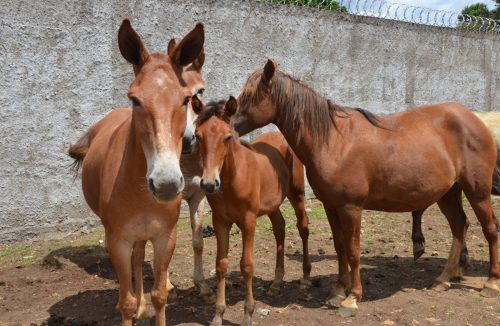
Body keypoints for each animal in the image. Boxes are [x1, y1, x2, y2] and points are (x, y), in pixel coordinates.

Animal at [68, 19, 205, 324]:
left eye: (185, 99)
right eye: (135, 100)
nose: (166, 184)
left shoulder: (165, 237)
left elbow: (160, 295)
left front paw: (151, 302)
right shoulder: (118, 240)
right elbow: (127, 301)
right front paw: (133, 306)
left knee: (140, 256)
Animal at [193, 95, 310, 324]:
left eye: (228, 137)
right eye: (198, 136)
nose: (209, 184)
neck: (232, 179)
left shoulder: (248, 220)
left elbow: (246, 266)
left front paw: (248, 314)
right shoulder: (220, 221)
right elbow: (221, 265)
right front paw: (218, 314)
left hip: (297, 194)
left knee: (303, 227)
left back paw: (306, 278)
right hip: (272, 204)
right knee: (280, 228)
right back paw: (276, 283)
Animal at [233, 58, 500, 316]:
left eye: (250, 95)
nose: (231, 127)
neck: (334, 141)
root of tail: (475, 120)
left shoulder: (351, 207)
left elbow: (353, 250)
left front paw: (352, 298)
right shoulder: (331, 206)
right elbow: (340, 247)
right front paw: (337, 291)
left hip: (477, 191)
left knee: (490, 229)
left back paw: (491, 283)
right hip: (448, 193)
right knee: (459, 227)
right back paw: (443, 279)